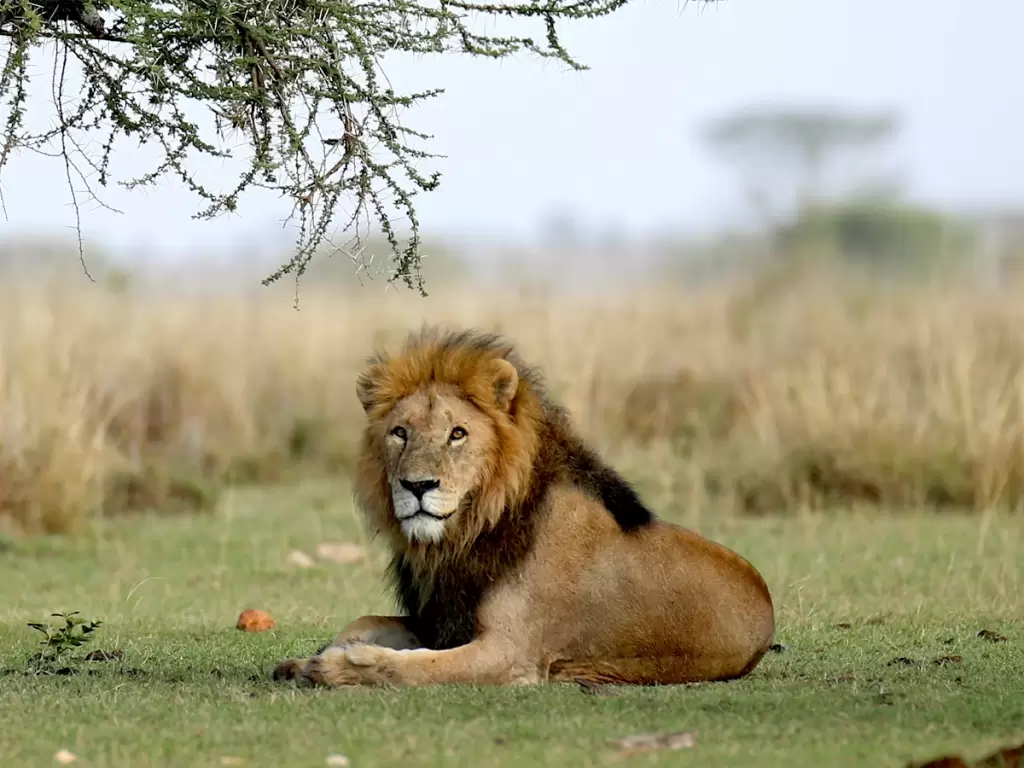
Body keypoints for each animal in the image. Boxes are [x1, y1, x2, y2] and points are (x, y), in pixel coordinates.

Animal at [272, 327, 774, 688]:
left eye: (457, 434)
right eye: (400, 432)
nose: (417, 485)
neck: (469, 532)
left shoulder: (510, 654)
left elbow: (411, 666)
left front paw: (337, 668)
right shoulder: (444, 620)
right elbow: (366, 621)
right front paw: (305, 659)